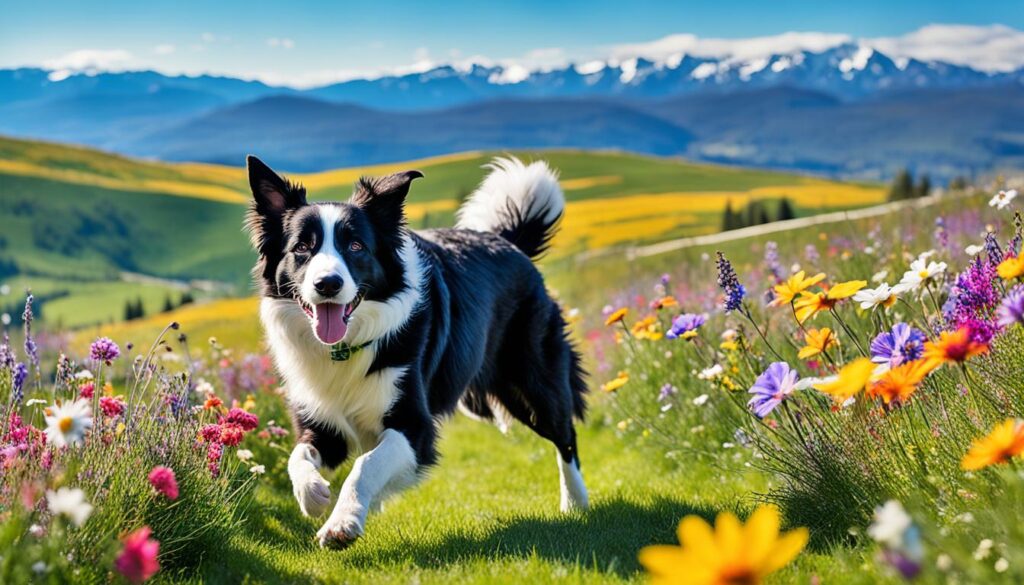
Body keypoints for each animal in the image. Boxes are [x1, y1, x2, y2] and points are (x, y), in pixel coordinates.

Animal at [242, 155, 589, 549]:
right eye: (302, 247)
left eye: (356, 246)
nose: (327, 284)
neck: (343, 348)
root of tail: (506, 240)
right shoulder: (320, 420)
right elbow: (298, 456)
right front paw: (314, 494)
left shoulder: (415, 425)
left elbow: (366, 465)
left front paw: (342, 523)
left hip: (531, 381)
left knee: (565, 435)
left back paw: (576, 503)